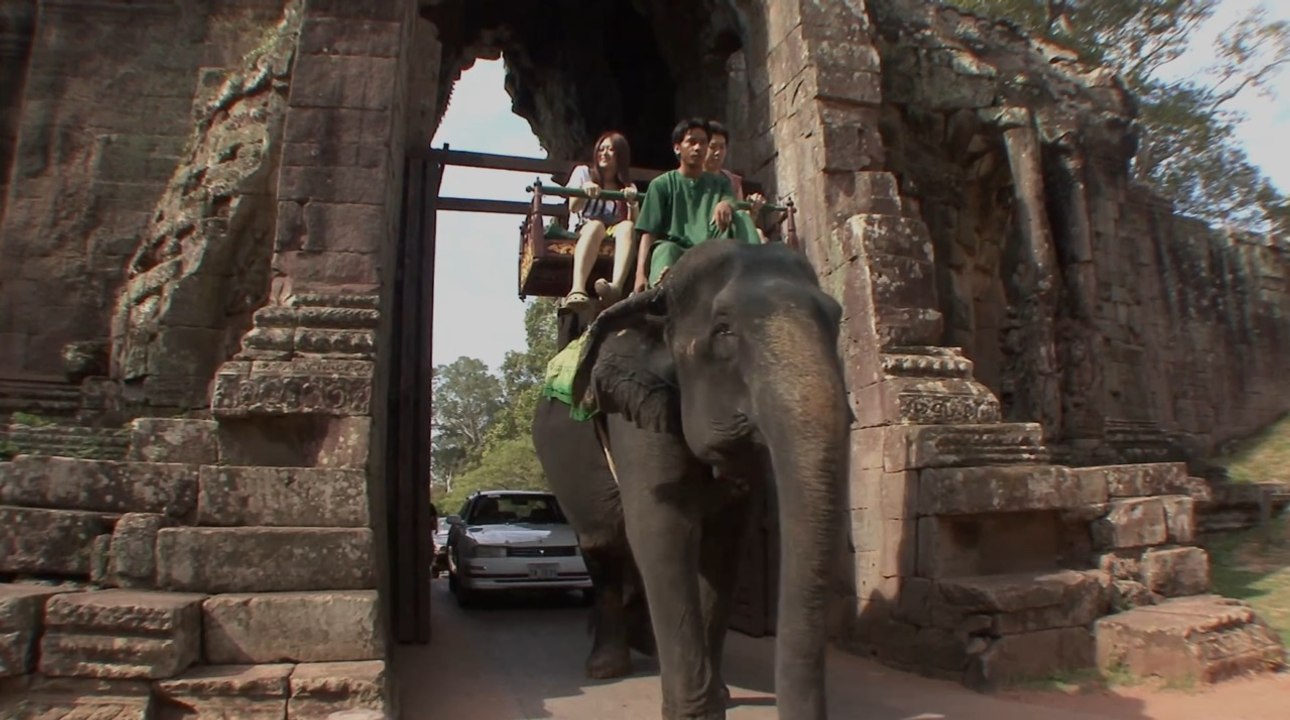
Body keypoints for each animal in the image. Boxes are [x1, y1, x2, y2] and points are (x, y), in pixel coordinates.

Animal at [535, 236, 851, 720]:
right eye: (723, 331)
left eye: (835, 321)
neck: (657, 298)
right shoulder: (633, 407)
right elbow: (663, 528)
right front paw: (697, 713)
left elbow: (725, 541)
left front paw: (719, 696)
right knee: (602, 544)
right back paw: (606, 667)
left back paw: (643, 645)